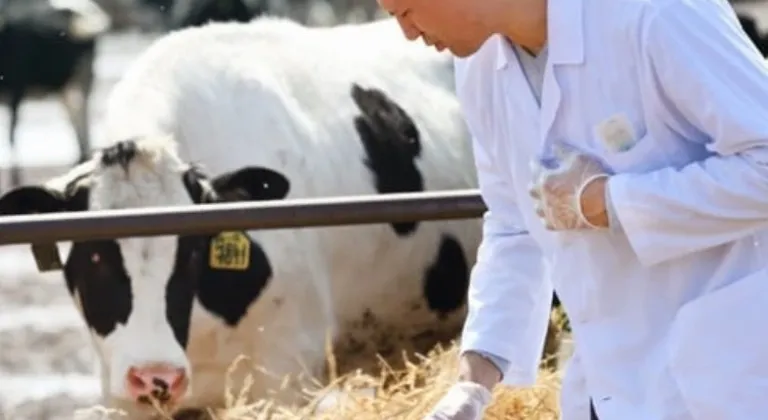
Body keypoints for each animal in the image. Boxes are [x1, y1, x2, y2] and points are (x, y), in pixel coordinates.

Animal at [0, 0, 111, 189]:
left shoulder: (17, 88)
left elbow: (11, 135)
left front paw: (16, 180)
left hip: (81, 77)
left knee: (81, 119)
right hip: (65, 86)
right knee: (76, 120)